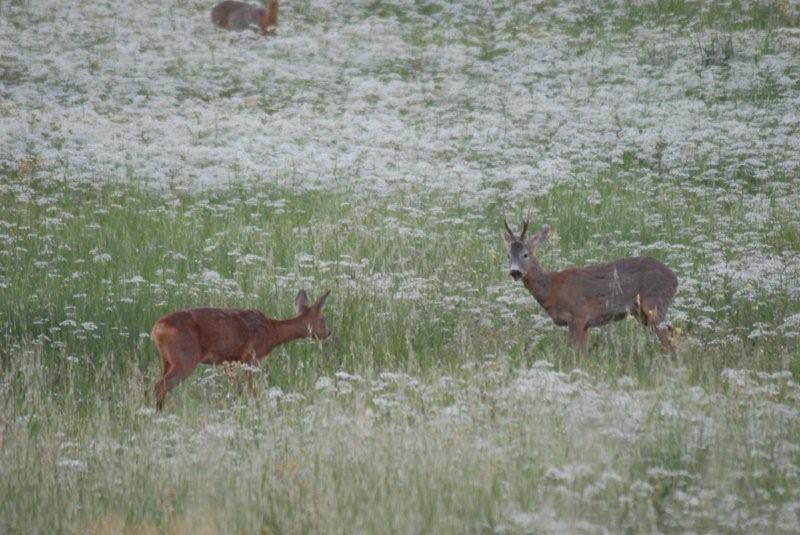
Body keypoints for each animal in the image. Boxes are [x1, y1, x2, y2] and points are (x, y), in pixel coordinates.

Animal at [152, 288, 330, 410]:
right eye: (323, 319)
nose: (329, 333)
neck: (272, 332)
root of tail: (157, 329)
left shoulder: (230, 361)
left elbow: (235, 389)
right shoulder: (251, 356)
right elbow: (252, 389)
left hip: (166, 360)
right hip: (185, 358)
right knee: (160, 385)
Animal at [504, 211, 680, 354]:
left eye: (525, 254)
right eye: (508, 255)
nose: (515, 272)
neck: (552, 288)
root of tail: (674, 278)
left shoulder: (578, 316)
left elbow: (575, 353)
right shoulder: (585, 325)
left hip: (654, 303)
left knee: (667, 339)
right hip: (642, 313)